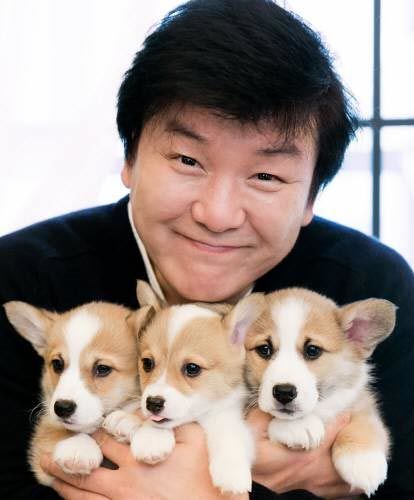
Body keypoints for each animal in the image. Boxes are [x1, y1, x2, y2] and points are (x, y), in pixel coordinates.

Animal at [4, 300, 143, 485]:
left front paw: (127, 419)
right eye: (57, 364)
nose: (62, 408)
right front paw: (78, 448)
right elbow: (54, 430)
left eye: (102, 369)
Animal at [103, 280, 260, 494]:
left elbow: (229, 434)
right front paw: (143, 432)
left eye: (192, 368)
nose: (153, 403)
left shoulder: (227, 414)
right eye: (147, 363)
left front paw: (231, 473)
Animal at [243, 287, 396, 497]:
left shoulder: (359, 402)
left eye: (313, 350)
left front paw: (363, 462)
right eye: (264, 349)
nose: (284, 392)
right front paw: (299, 425)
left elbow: (366, 423)